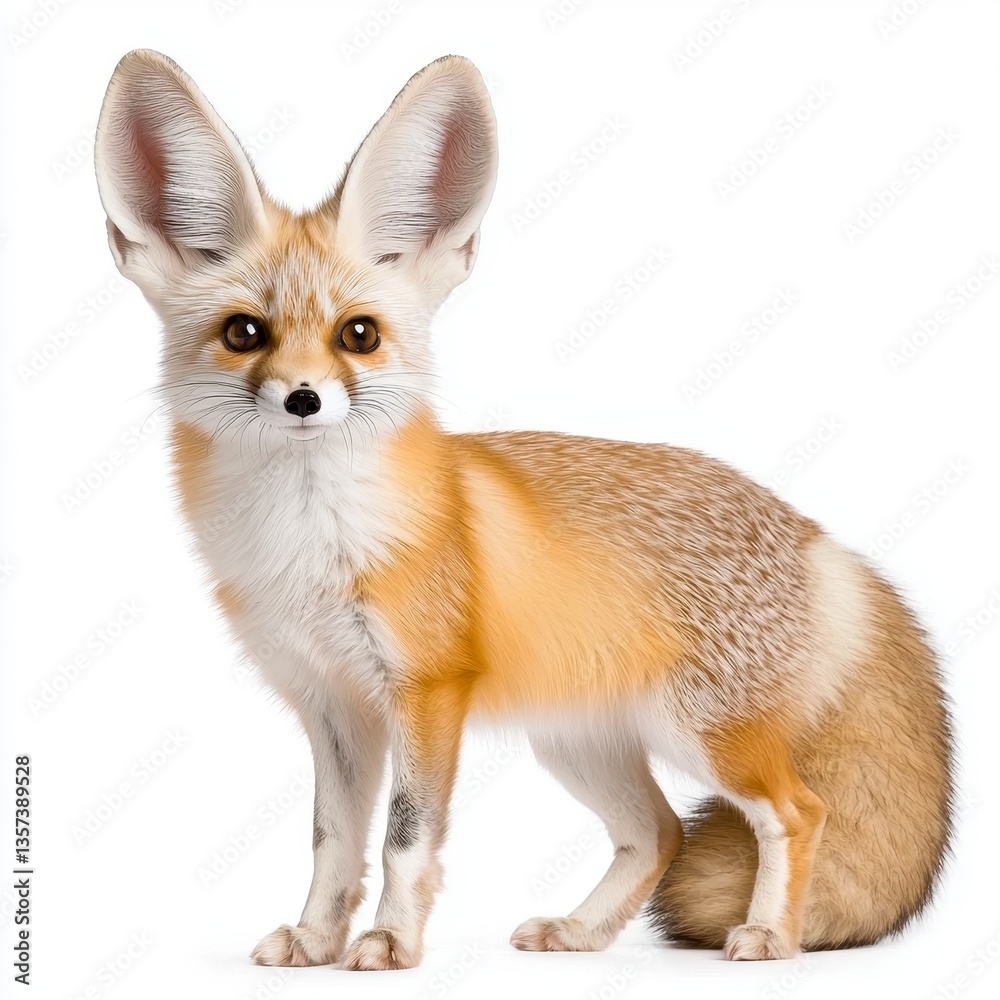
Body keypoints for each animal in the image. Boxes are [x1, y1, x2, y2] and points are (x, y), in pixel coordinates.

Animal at [94, 50, 953, 970]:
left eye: (358, 335)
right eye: (244, 333)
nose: (302, 400)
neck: (311, 549)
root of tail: (819, 535)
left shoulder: (426, 693)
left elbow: (404, 838)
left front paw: (389, 944)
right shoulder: (332, 707)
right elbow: (332, 842)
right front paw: (316, 939)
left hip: (705, 734)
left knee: (797, 812)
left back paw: (770, 936)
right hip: (579, 744)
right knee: (658, 834)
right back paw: (581, 932)